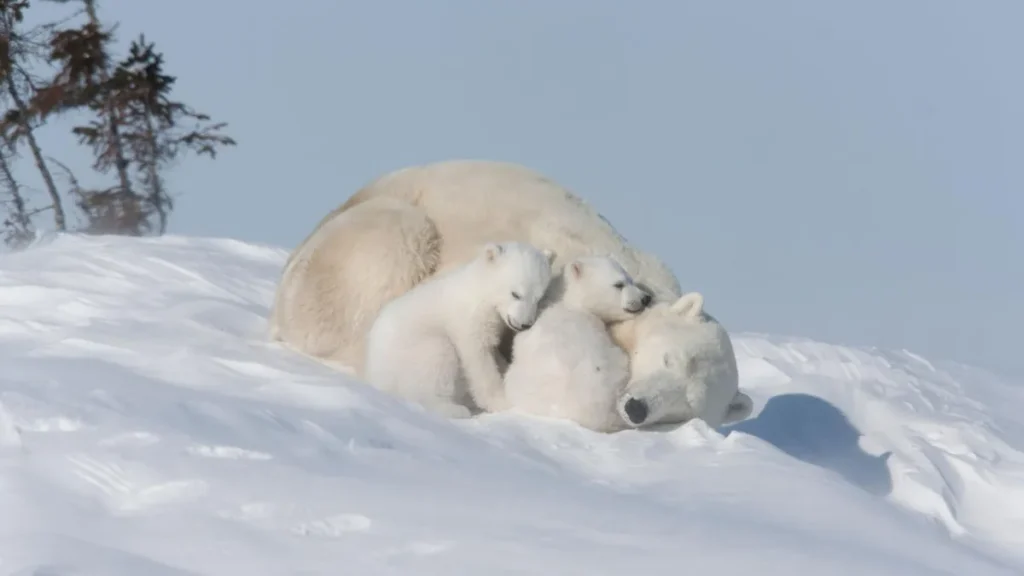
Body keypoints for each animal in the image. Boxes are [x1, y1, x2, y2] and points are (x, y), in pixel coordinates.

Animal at [363, 241, 555, 418]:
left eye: (539, 298)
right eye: (516, 294)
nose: (525, 324)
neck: (480, 291)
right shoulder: (467, 319)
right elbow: (478, 359)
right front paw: (502, 402)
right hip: (410, 352)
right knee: (435, 359)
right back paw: (454, 409)